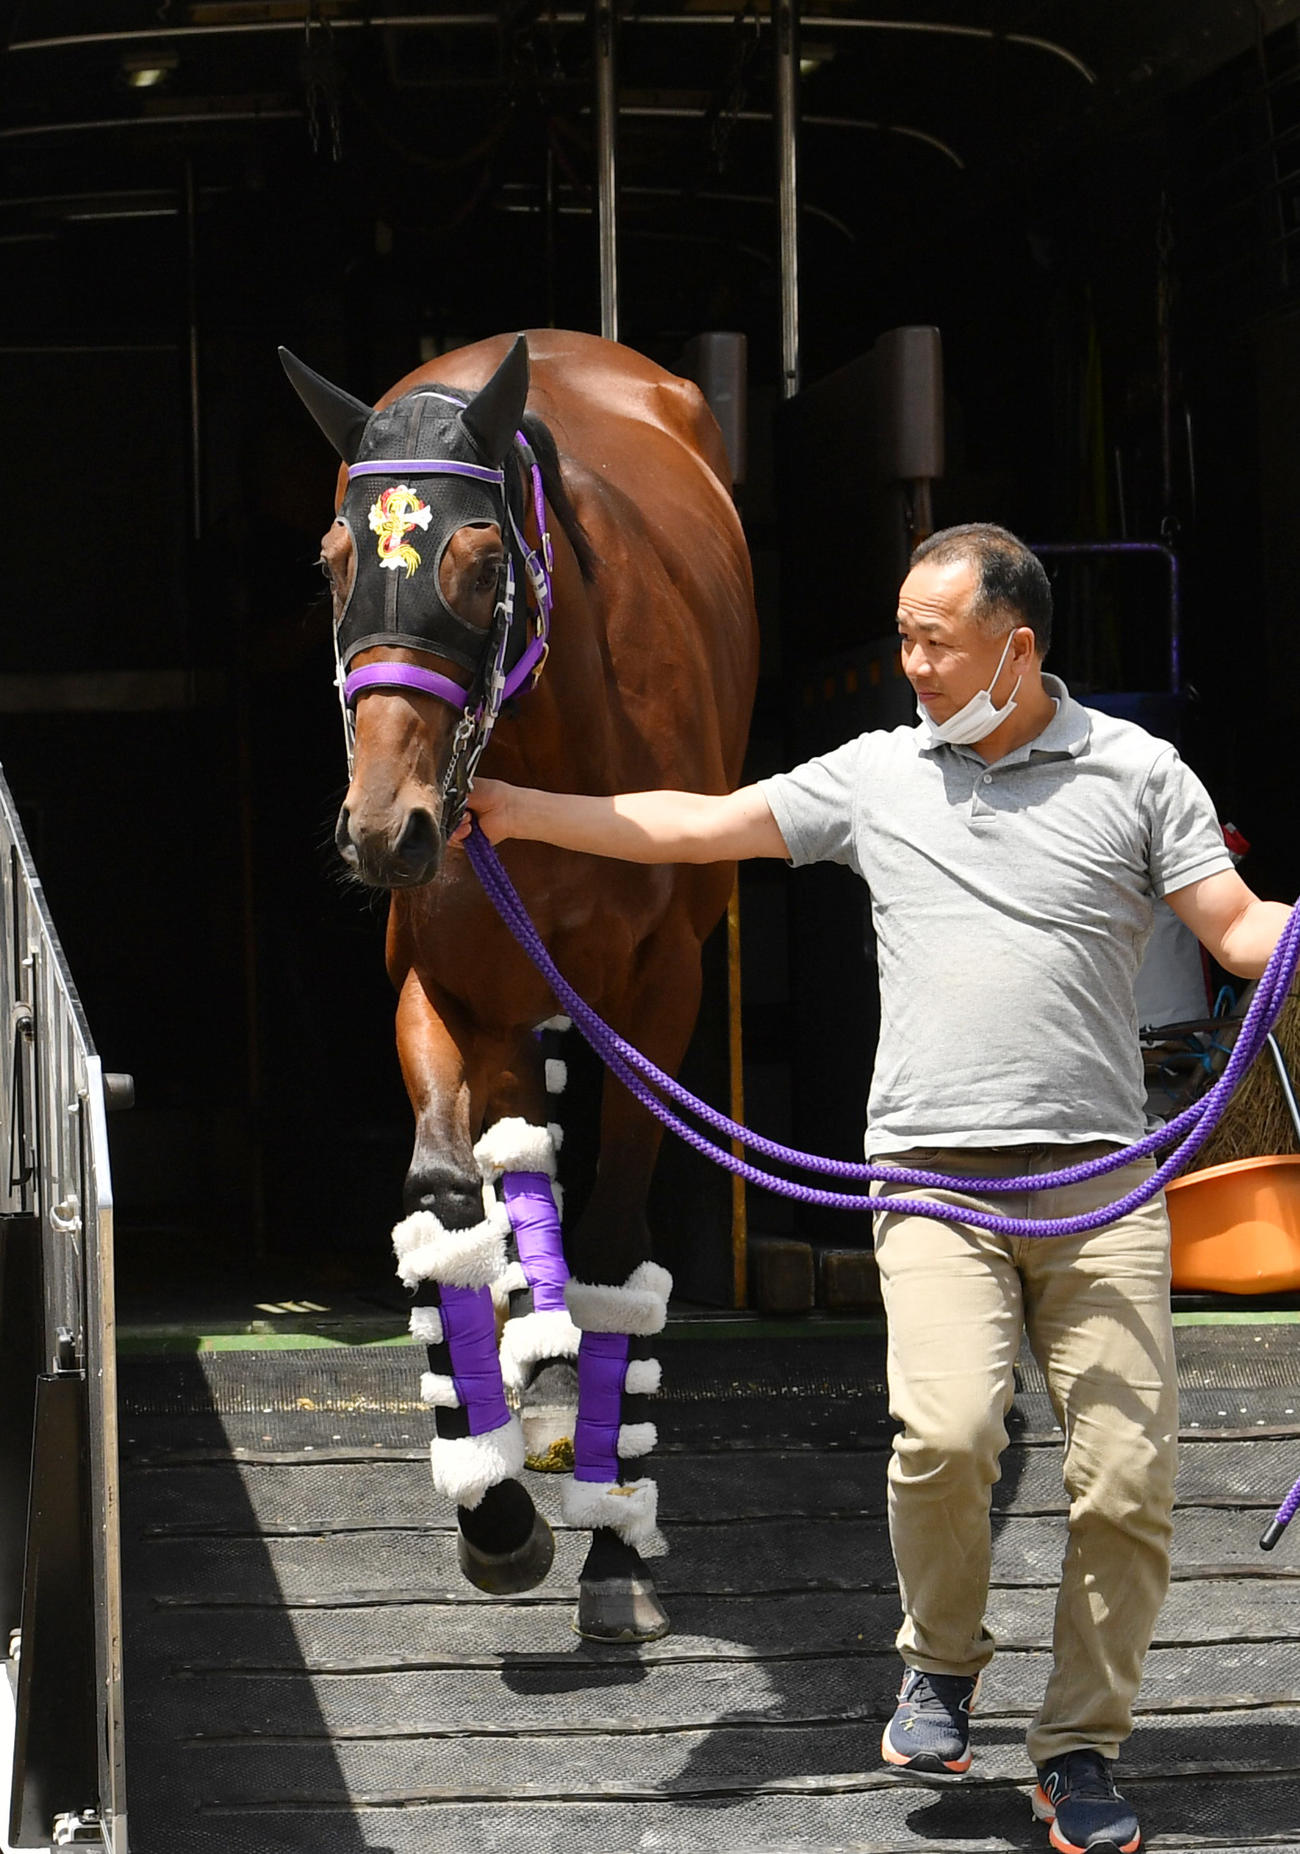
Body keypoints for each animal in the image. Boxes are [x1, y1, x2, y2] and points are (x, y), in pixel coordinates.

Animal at [281, 329, 758, 1640]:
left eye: (481, 557)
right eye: (335, 560)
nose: (382, 827)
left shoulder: (658, 1001)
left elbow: (611, 1248)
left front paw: (608, 1541)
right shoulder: (441, 981)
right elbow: (446, 1202)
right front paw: (491, 1508)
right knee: (507, 1161)